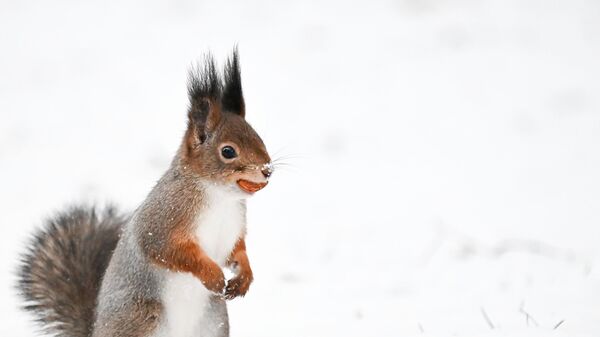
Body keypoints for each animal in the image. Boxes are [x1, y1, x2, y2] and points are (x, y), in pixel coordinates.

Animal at [16, 50, 274, 336]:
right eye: (228, 151)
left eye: (258, 136)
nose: (267, 170)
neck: (219, 197)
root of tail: (96, 330)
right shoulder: (164, 219)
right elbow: (170, 251)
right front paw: (213, 275)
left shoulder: (234, 228)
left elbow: (237, 252)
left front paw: (244, 277)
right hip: (143, 317)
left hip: (213, 323)